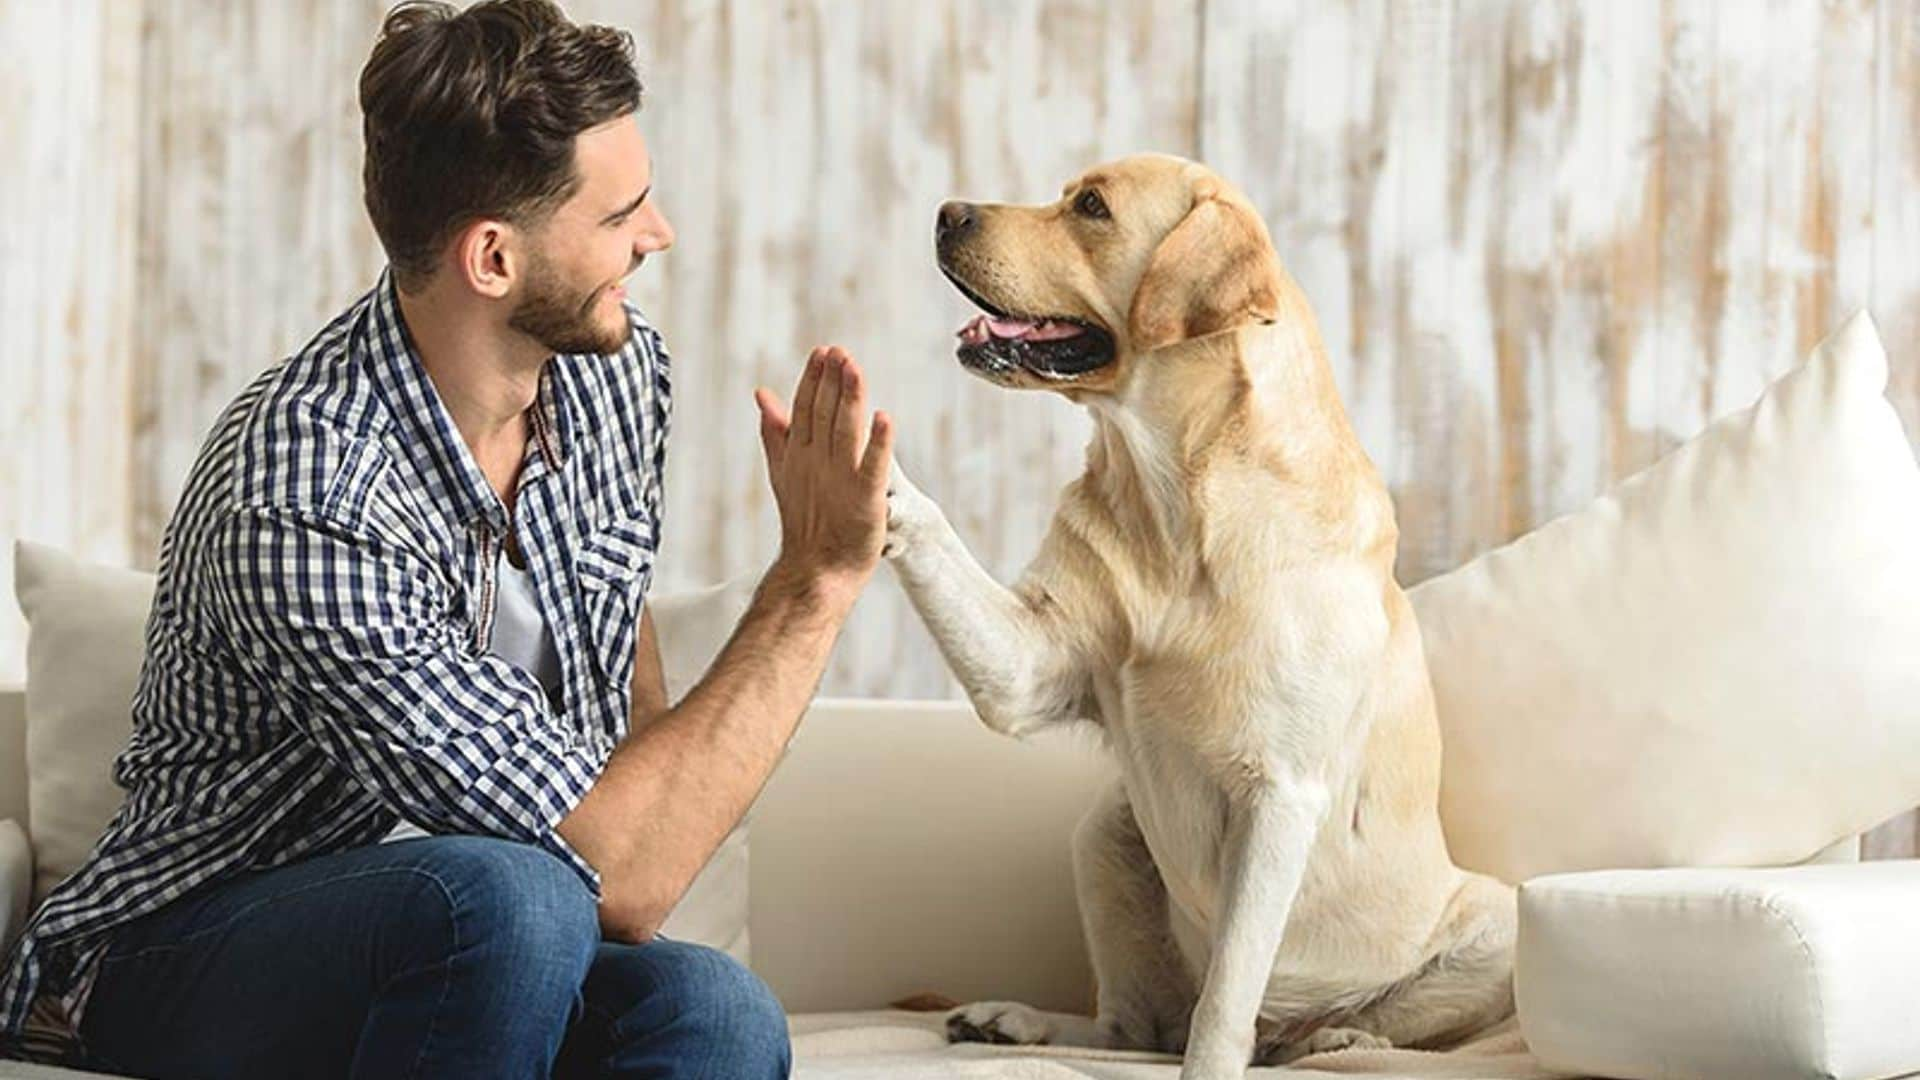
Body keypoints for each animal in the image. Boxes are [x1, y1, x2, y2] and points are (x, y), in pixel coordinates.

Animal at [879, 153, 1512, 1076]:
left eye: (1092, 207)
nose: (946, 212)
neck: (1176, 502)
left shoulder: (1279, 795)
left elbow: (1225, 1001)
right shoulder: (1028, 668)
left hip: (1498, 922)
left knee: (1315, 1028)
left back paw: (1337, 1033)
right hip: (1105, 834)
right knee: (1131, 1027)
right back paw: (1013, 1021)